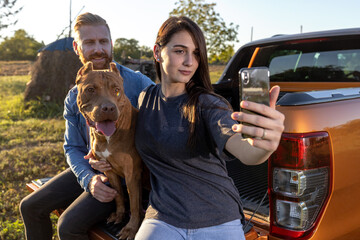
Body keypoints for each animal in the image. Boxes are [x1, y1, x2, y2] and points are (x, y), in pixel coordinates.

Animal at [76, 61, 142, 239]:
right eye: (90, 89)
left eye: (116, 90)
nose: (108, 108)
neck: (107, 137)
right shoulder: (109, 170)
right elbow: (118, 194)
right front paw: (119, 215)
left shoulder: (132, 174)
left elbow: (134, 204)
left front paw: (131, 228)